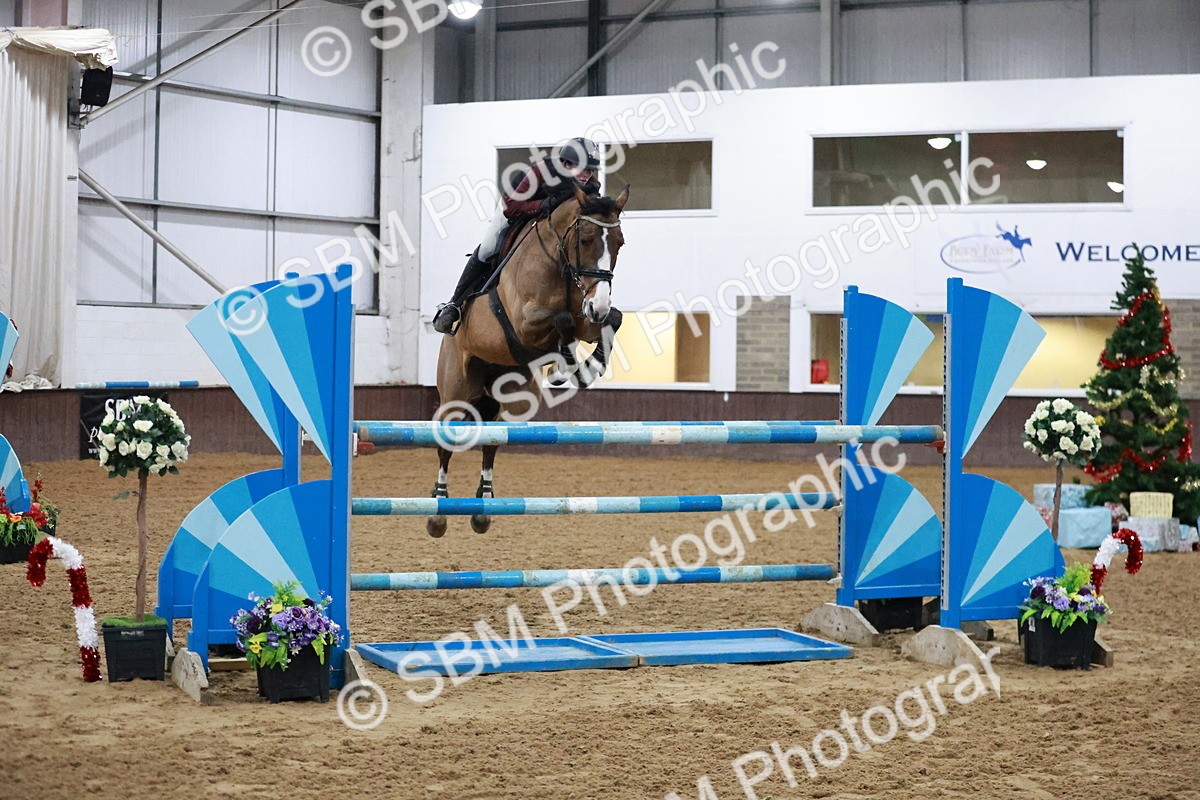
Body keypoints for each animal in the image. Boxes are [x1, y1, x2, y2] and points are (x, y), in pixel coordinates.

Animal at [428, 184, 630, 537]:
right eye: (585, 239)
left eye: (619, 243)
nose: (599, 305)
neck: (560, 262)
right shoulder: (524, 322)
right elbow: (562, 320)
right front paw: (565, 368)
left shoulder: (587, 318)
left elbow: (609, 320)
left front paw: (585, 369)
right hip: (455, 391)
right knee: (446, 440)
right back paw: (438, 511)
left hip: (513, 395)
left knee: (492, 440)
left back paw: (483, 507)